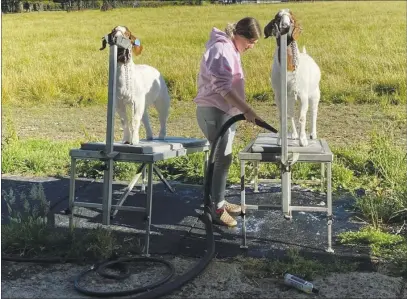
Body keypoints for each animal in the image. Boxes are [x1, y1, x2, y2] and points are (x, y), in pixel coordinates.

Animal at [264, 9, 322, 148]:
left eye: (292, 19)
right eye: (277, 18)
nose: (285, 26)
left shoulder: (303, 96)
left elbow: (302, 117)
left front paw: (303, 141)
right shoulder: (279, 96)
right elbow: (283, 116)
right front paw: (280, 140)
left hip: (315, 94)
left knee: (314, 112)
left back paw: (313, 134)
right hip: (290, 98)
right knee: (290, 114)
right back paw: (294, 134)